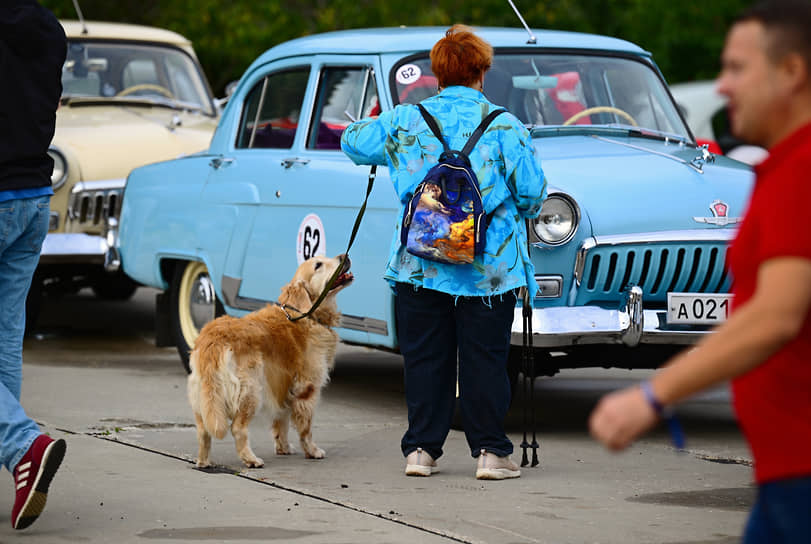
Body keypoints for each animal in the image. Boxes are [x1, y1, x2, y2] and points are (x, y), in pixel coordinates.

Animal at [190, 255, 356, 468]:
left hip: (205, 398)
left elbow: (281, 422)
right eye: (318, 265)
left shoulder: (283, 385)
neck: (305, 313)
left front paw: (283, 448)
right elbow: (306, 428)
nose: (345, 256)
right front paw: (312, 451)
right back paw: (251, 459)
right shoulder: (307, 389)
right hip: (251, 391)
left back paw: (203, 462)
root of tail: (214, 339)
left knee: (203, 430)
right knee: (237, 428)